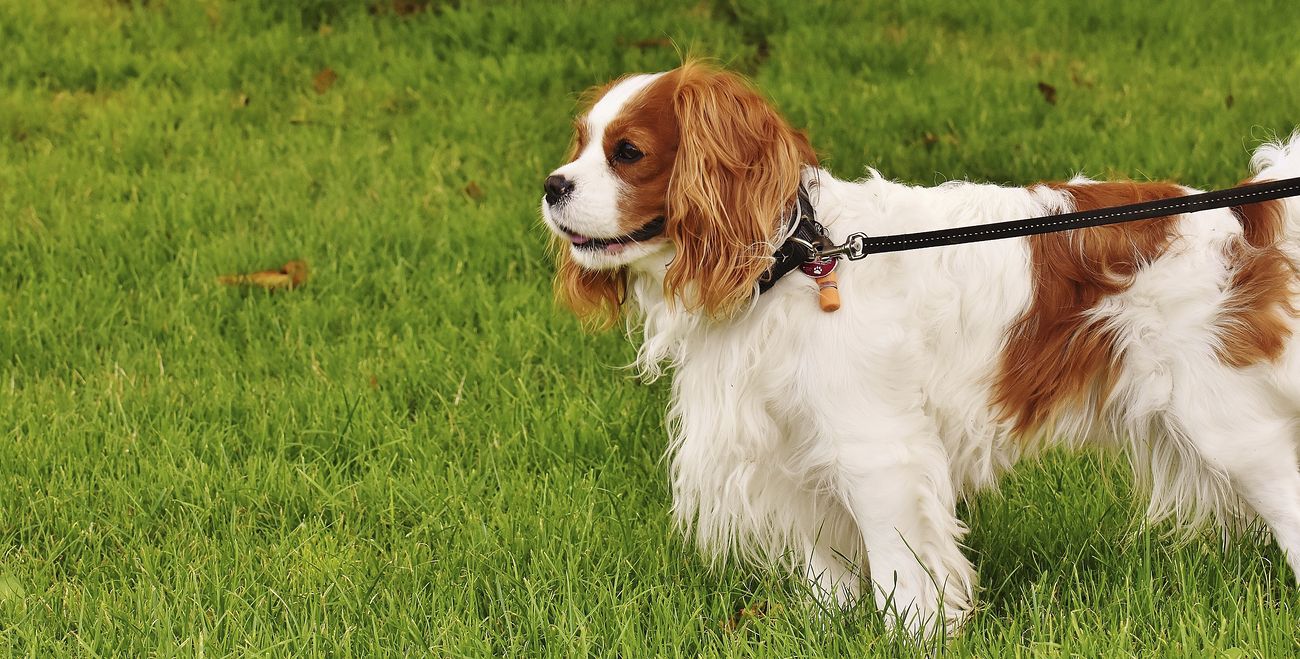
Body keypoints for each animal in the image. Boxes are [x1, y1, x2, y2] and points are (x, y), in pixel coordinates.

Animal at [535, 60, 1300, 634]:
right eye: (579, 144)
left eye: (628, 153)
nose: (551, 185)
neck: (791, 260)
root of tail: (1243, 216)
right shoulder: (791, 446)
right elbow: (828, 569)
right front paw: (828, 627)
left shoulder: (876, 448)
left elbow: (902, 571)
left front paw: (916, 636)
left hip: (1227, 423)